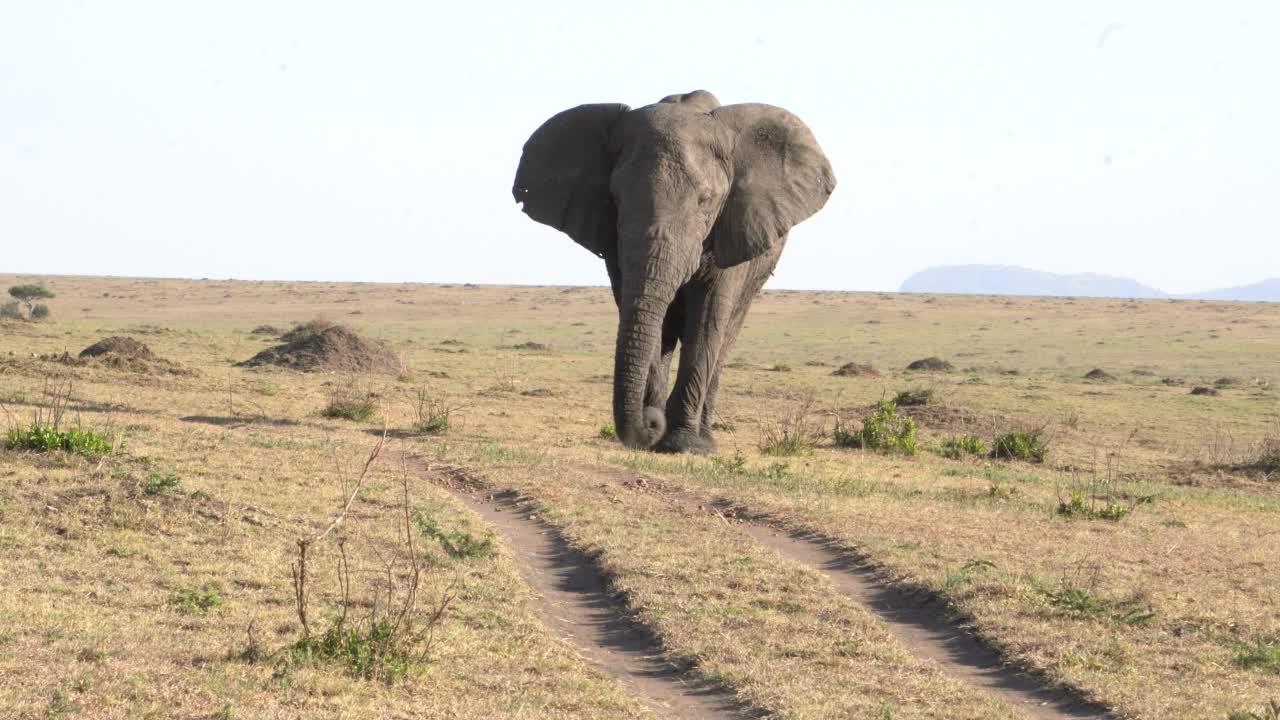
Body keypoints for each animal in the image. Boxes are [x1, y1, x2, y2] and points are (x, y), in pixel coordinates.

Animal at [514, 88, 834, 448]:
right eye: (615, 198)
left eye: (705, 201)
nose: (651, 421)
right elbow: (640, 310)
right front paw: (660, 438)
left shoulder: (734, 226)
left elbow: (708, 318)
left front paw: (685, 446)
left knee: (724, 338)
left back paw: (704, 437)